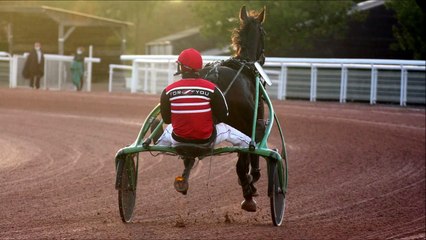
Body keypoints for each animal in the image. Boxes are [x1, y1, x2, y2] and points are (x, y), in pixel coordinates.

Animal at [201, 5, 266, 212]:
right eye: (264, 32)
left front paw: (248, 183)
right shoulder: (254, 122)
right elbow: (249, 158)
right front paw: (251, 183)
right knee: (241, 163)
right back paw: (248, 195)